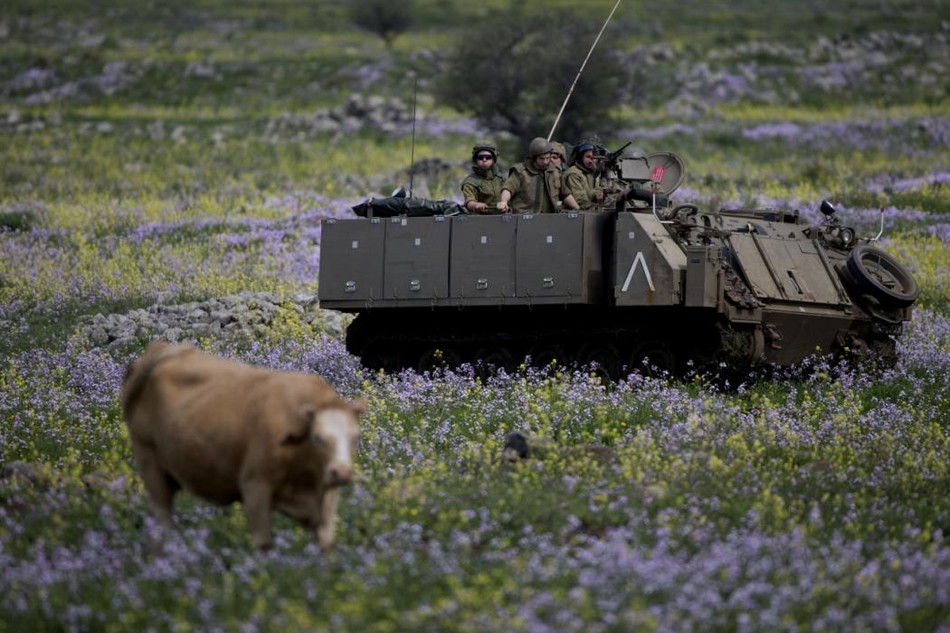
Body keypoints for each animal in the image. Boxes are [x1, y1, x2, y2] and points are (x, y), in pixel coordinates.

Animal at [122, 340, 364, 548]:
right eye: (317, 438)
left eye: (355, 437)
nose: (342, 472)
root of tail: (161, 348)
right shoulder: (254, 485)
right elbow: (263, 544)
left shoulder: (326, 502)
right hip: (149, 461)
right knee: (160, 524)